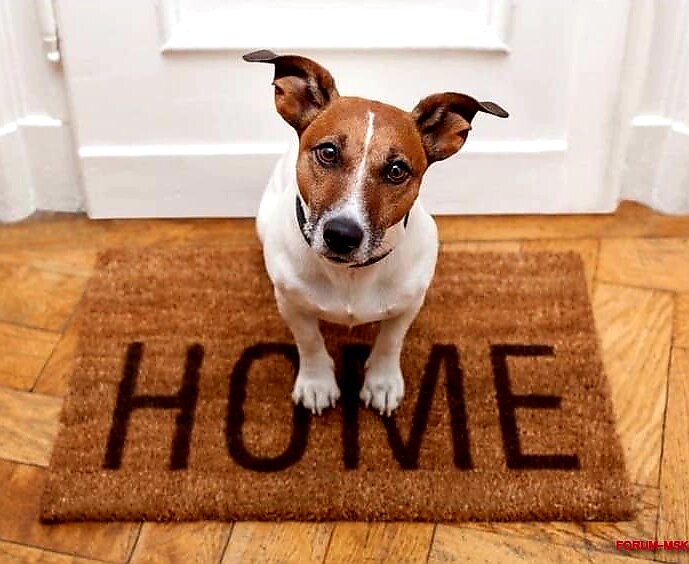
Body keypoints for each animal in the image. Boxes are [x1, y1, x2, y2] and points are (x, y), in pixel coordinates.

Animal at [244, 50, 507, 416]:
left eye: (397, 170)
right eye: (328, 152)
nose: (342, 234)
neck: (350, 275)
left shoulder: (409, 304)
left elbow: (390, 341)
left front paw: (382, 383)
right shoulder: (291, 303)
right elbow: (309, 340)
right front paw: (316, 382)